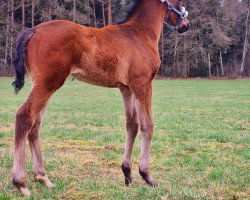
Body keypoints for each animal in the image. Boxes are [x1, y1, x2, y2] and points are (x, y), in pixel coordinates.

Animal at [11, 0, 188, 197]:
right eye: (180, 2)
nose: (185, 25)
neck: (139, 33)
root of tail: (33, 30)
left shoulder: (126, 88)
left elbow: (132, 125)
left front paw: (127, 174)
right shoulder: (142, 84)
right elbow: (147, 125)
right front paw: (147, 176)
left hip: (41, 84)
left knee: (35, 125)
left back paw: (43, 177)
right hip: (48, 84)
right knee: (24, 116)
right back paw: (21, 183)